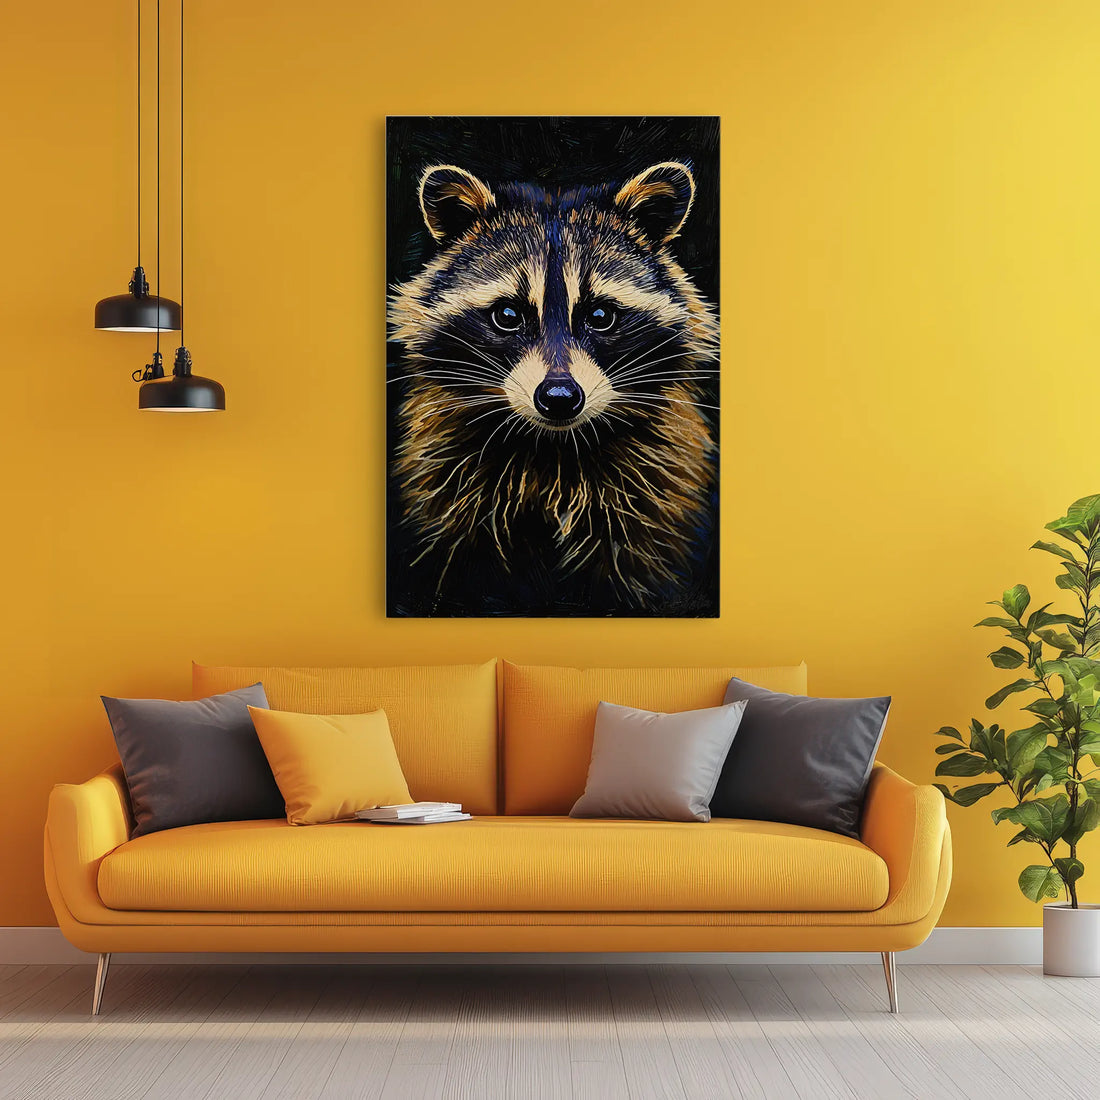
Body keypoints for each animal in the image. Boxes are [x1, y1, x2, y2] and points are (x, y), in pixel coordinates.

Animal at [387, 160, 719, 616]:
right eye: (508, 315)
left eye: (600, 315)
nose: (559, 398)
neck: (554, 449)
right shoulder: (450, 487)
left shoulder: (654, 491)